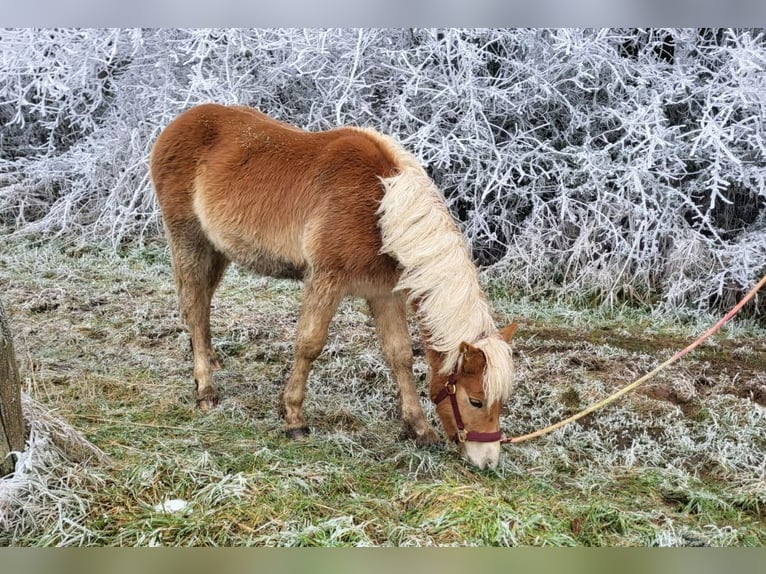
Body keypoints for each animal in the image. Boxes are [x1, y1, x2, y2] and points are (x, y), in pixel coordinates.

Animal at [151, 104, 520, 472]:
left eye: (500, 402)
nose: (488, 461)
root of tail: (179, 124)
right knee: (195, 307)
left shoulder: (383, 293)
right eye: (475, 400)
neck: (381, 208)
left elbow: (399, 354)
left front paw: (418, 427)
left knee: (202, 303)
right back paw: (205, 389)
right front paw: (294, 419)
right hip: (189, 239)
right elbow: (309, 344)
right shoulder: (326, 279)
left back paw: (209, 360)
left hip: (218, 250)